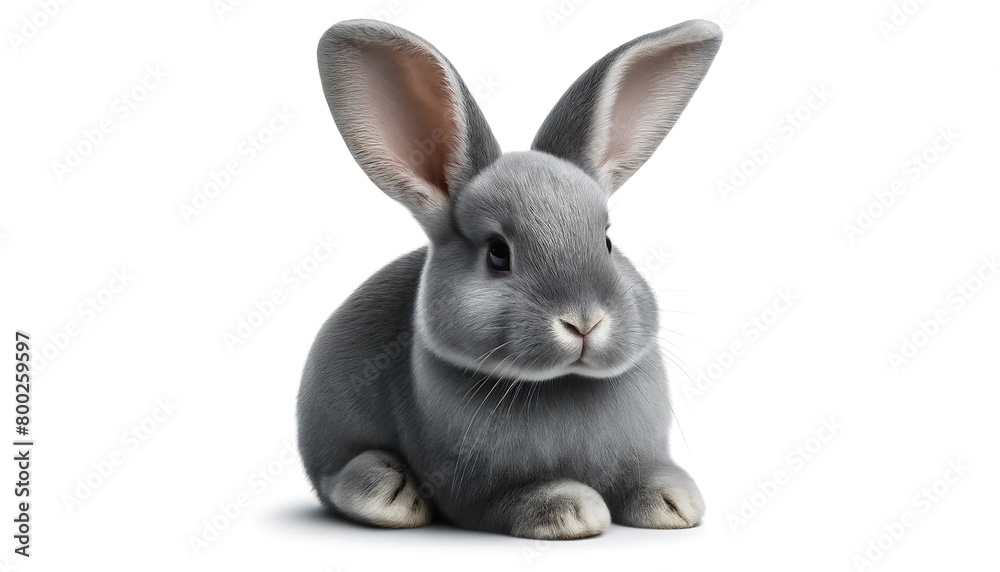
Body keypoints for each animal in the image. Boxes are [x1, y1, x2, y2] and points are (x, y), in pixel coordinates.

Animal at [297, 18, 722, 539]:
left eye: (606, 239)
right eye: (498, 254)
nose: (584, 322)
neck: (562, 384)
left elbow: (644, 476)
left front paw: (674, 501)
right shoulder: (473, 488)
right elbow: (505, 499)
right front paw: (570, 509)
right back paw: (389, 491)